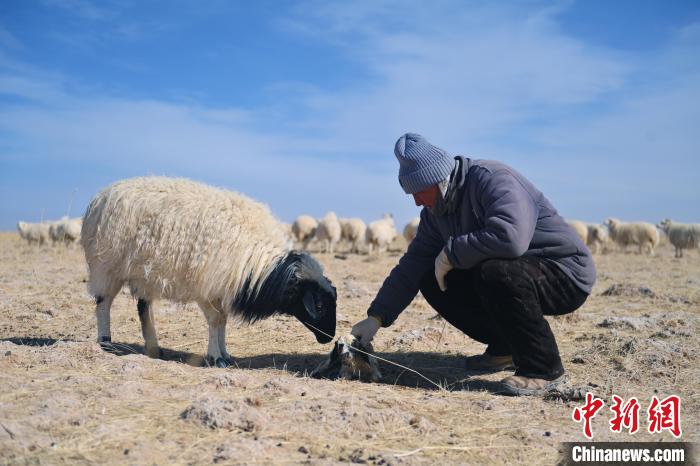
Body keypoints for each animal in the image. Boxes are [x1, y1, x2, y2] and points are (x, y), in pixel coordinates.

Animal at [80, 177, 338, 366]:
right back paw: (105, 342)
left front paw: (225, 354)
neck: (257, 264)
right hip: (106, 265)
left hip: (145, 272)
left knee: (144, 307)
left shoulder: (222, 289)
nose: (329, 338)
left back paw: (153, 348)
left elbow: (222, 321)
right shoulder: (207, 287)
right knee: (104, 303)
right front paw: (216, 357)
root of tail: (102, 194)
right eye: (318, 306)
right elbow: (215, 321)